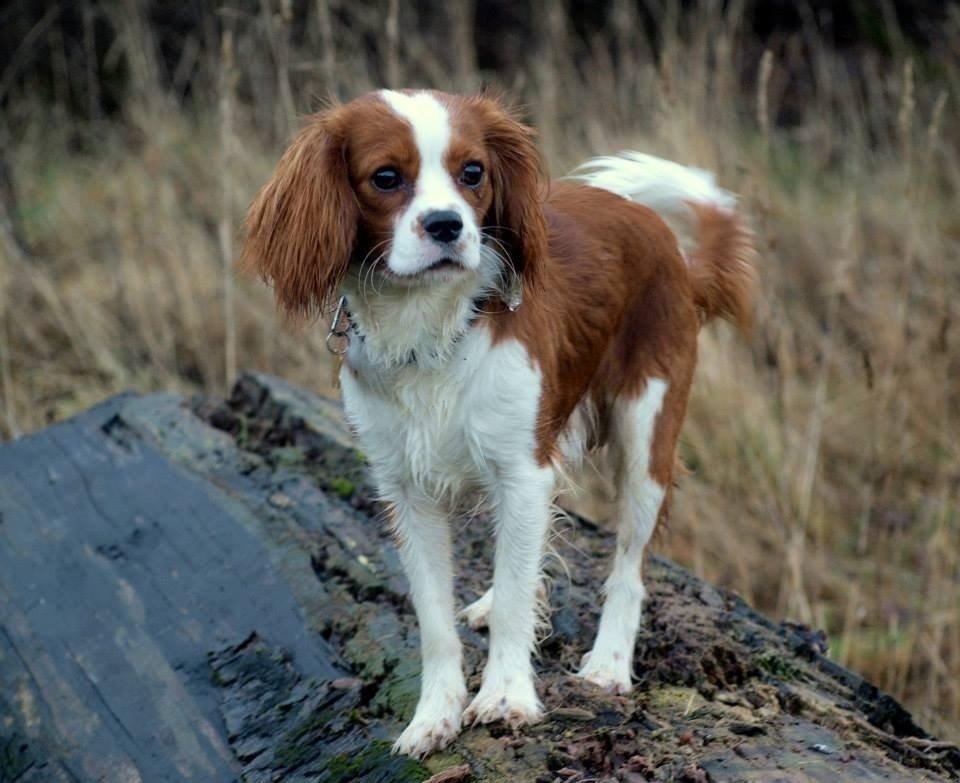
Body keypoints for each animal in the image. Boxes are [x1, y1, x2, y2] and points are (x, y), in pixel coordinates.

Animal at [238, 89, 752, 756]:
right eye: (386, 178)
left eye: (473, 172)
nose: (447, 225)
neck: (427, 330)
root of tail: (672, 249)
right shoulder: (408, 492)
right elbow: (434, 614)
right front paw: (434, 715)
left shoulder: (520, 469)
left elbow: (516, 597)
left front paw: (507, 697)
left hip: (647, 436)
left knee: (630, 565)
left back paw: (608, 664)